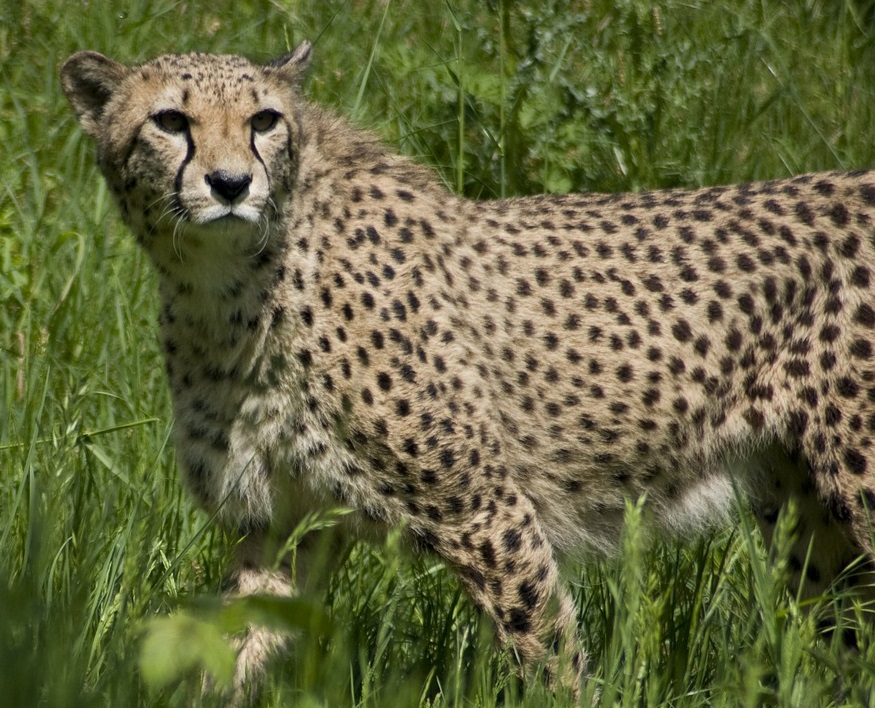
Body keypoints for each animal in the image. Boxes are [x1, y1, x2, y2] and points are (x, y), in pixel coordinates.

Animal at [61, 42, 875, 696]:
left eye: (264, 120)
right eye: (171, 121)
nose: (231, 184)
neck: (226, 286)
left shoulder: (484, 508)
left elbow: (545, 654)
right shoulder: (283, 521)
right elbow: (232, 643)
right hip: (807, 516)